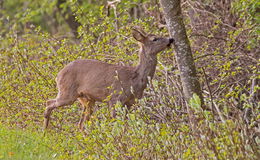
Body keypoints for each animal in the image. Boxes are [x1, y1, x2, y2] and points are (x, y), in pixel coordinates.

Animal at [43, 27, 174, 130]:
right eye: (154, 39)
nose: (171, 39)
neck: (134, 79)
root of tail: (58, 75)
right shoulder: (115, 98)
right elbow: (116, 123)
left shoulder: (130, 102)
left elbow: (126, 124)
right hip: (67, 92)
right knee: (49, 103)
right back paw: (45, 132)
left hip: (87, 99)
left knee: (81, 124)